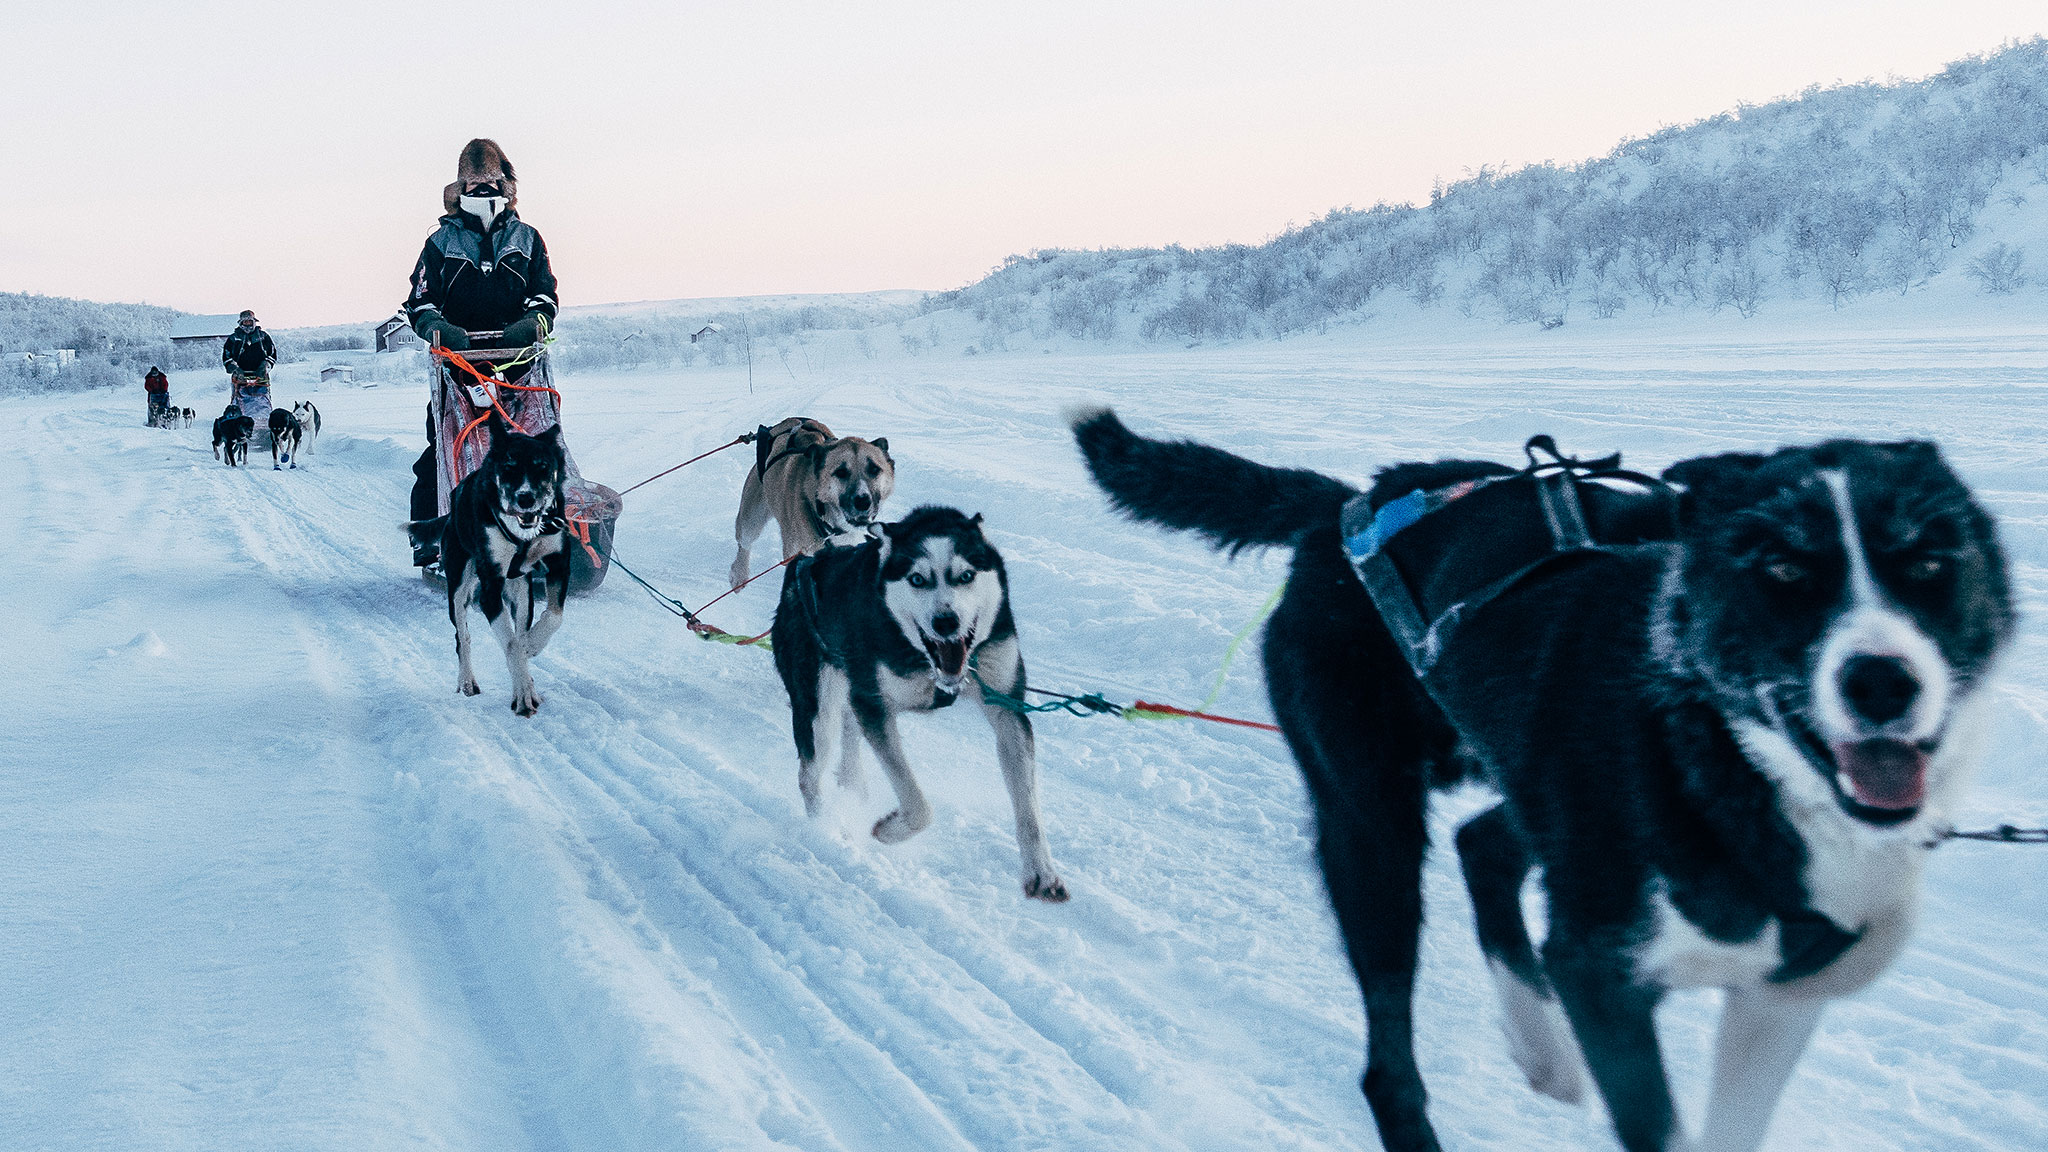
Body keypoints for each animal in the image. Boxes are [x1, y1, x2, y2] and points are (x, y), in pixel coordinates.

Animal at [411, 412, 569, 713]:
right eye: (508, 467)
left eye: (543, 467)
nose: (526, 498)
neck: (522, 535)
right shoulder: (490, 588)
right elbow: (511, 645)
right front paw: (523, 694)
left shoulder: (559, 563)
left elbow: (552, 617)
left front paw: (533, 646)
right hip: (459, 591)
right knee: (463, 638)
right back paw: (468, 682)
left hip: (521, 591)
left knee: (519, 626)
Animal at [737, 414, 897, 586]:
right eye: (841, 472)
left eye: (874, 469)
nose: (863, 501)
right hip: (750, 522)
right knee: (744, 544)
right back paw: (738, 575)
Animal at [770, 506, 1073, 901]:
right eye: (917, 579)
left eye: (966, 576)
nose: (946, 622)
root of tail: (806, 561)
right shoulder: (876, 706)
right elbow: (918, 804)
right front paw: (889, 830)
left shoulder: (1006, 706)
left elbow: (1029, 807)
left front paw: (1042, 872)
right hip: (817, 709)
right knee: (809, 776)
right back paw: (825, 829)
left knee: (849, 734)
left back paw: (853, 784)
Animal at [1073, 407, 2015, 1139]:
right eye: (1782, 569)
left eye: (1931, 564)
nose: (1883, 681)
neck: (1724, 759)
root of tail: (1348, 509)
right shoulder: (1604, 977)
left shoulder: (1776, 1001)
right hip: (1373, 834)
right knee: (1390, 1059)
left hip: (1519, 781)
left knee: (1482, 843)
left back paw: (1540, 1046)